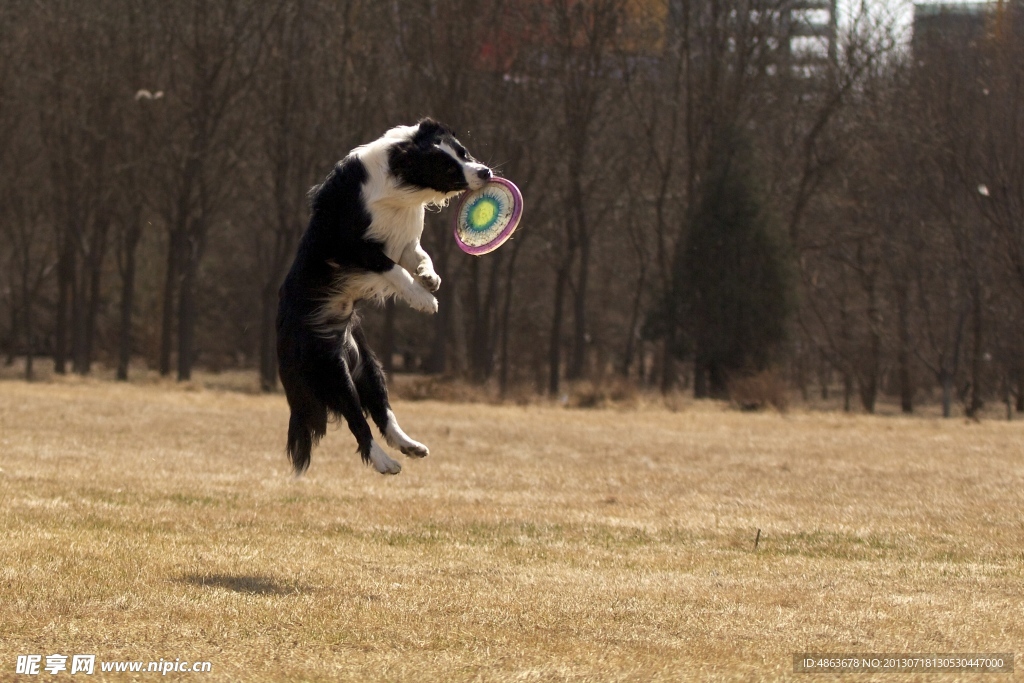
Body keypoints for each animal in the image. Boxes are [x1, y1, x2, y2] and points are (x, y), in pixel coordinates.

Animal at [276, 120, 491, 475]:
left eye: (463, 152)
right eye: (447, 167)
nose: (485, 172)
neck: (397, 172)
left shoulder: (403, 240)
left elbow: (419, 256)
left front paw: (430, 278)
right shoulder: (350, 246)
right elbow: (393, 269)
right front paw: (423, 299)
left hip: (367, 364)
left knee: (382, 411)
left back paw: (410, 446)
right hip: (331, 370)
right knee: (357, 420)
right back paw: (384, 462)